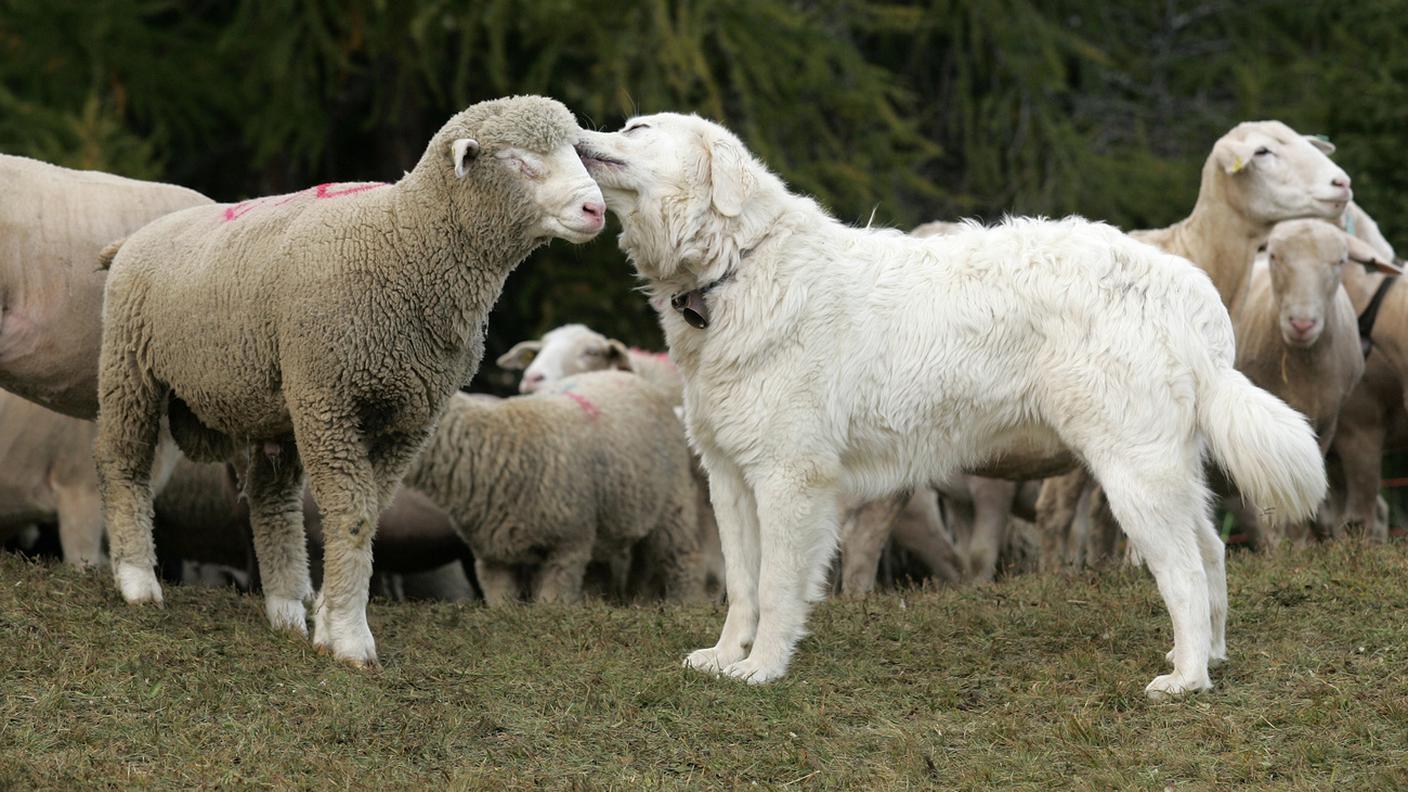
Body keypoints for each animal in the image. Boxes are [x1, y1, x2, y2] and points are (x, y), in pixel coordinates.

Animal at [97, 93, 605, 665]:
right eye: (519, 161)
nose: (596, 210)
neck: (404, 243)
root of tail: (134, 239)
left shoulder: (410, 418)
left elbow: (371, 513)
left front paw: (328, 621)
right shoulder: (329, 399)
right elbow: (352, 514)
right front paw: (348, 637)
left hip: (277, 403)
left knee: (273, 499)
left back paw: (285, 608)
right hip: (130, 366)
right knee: (124, 463)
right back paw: (138, 581)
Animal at [402, 372, 704, 600]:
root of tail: (628, 375)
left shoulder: (567, 545)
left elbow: (552, 601)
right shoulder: (492, 557)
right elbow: (501, 602)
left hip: (673, 502)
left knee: (682, 558)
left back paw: (684, 605)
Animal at [577, 112, 1323, 696]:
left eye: (635, 129)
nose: (577, 138)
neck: (737, 263)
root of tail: (1180, 282)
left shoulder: (790, 479)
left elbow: (778, 585)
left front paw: (761, 669)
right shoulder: (730, 477)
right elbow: (741, 583)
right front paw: (725, 657)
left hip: (1133, 473)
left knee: (1185, 574)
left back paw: (1186, 679)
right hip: (1165, 468)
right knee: (1211, 554)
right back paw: (1209, 657)